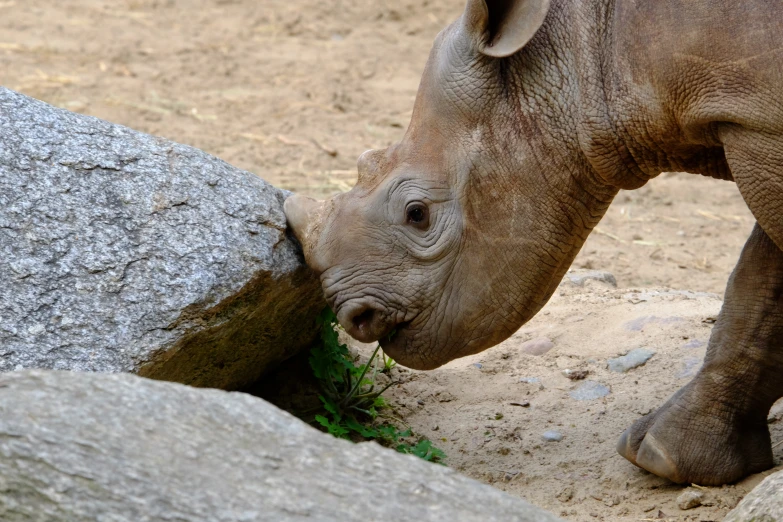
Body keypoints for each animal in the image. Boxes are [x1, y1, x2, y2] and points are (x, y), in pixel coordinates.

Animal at [284, 0, 783, 486]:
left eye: (417, 214)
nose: (355, 316)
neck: (587, 50)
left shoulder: (758, 123)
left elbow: (757, 280)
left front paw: (662, 456)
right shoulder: (754, 121)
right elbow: (759, 287)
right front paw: (665, 457)